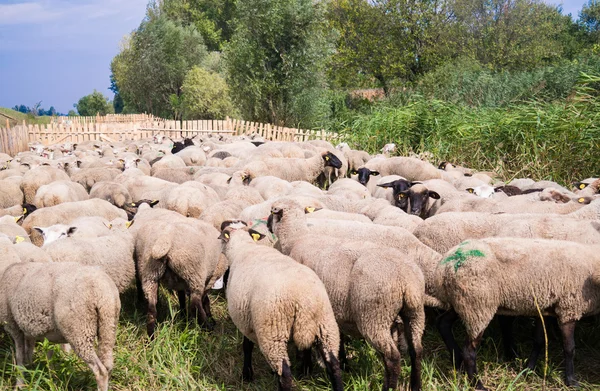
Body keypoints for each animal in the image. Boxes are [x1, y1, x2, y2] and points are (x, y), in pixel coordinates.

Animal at [0, 262, 120, 391]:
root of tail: (100, 290)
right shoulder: (30, 331)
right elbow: (33, 355)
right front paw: (39, 377)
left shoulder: (13, 325)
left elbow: (20, 358)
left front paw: (20, 384)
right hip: (108, 325)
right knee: (108, 366)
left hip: (80, 329)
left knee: (100, 371)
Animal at [219, 224, 342, 391]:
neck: (244, 247)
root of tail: (304, 301)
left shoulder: (245, 321)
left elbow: (247, 347)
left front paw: (247, 375)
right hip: (326, 326)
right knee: (334, 366)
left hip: (273, 332)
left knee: (284, 375)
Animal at [434, 239, 600, 388]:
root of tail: (445, 266)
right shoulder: (569, 308)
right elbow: (569, 348)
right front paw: (571, 381)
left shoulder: (544, 308)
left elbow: (539, 341)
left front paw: (528, 370)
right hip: (478, 305)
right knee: (469, 351)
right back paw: (478, 384)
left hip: (462, 302)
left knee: (443, 323)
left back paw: (457, 360)